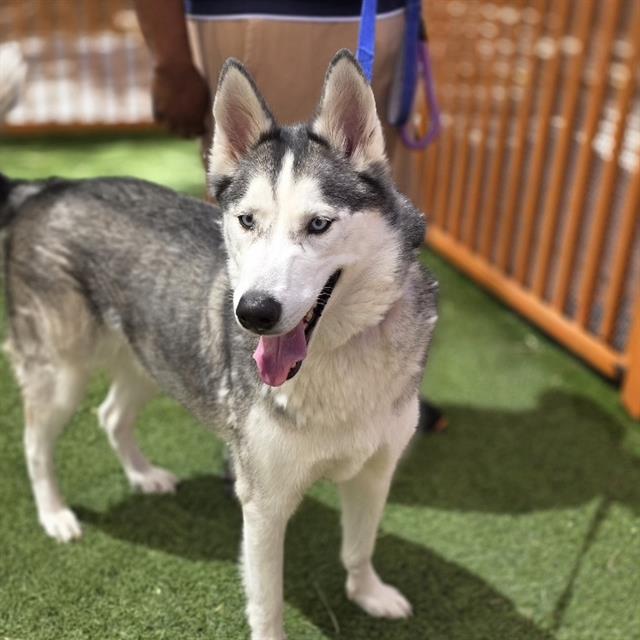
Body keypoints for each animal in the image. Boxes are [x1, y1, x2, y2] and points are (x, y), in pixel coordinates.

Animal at [0, 50, 438, 639]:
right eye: (246, 220)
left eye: (319, 224)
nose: (253, 312)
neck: (340, 355)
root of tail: (45, 188)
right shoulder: (264, 501)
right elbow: (267, 601)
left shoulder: (375, 472)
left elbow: (359, 548)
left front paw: (368, 594)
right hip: (61, 374)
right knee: (35, 444)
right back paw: (54, 514)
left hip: (150, 358)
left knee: (111, 415)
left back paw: (143, 476)